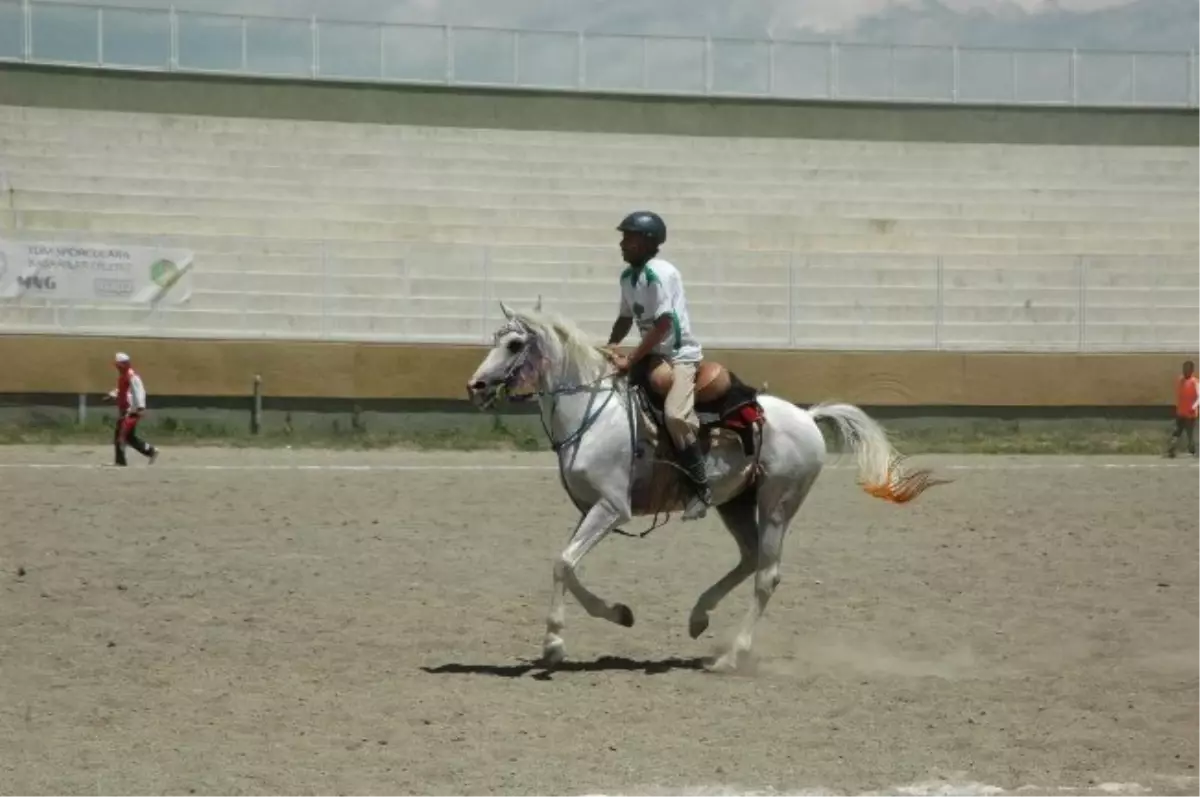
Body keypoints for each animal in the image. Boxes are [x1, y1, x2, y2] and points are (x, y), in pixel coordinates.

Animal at [463, 298, 940, 672]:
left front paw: (554, 645)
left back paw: (731, 656)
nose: (475, 385)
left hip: (777, 504)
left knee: (766, 575)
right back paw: (699, 618)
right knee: (749, 559)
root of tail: (807, 416)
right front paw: (619, 614)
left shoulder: (612, 507)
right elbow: (568, 564)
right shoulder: (591, 509)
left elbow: (564, 563)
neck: (592, 413)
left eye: (514, 344)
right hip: (736, 504)